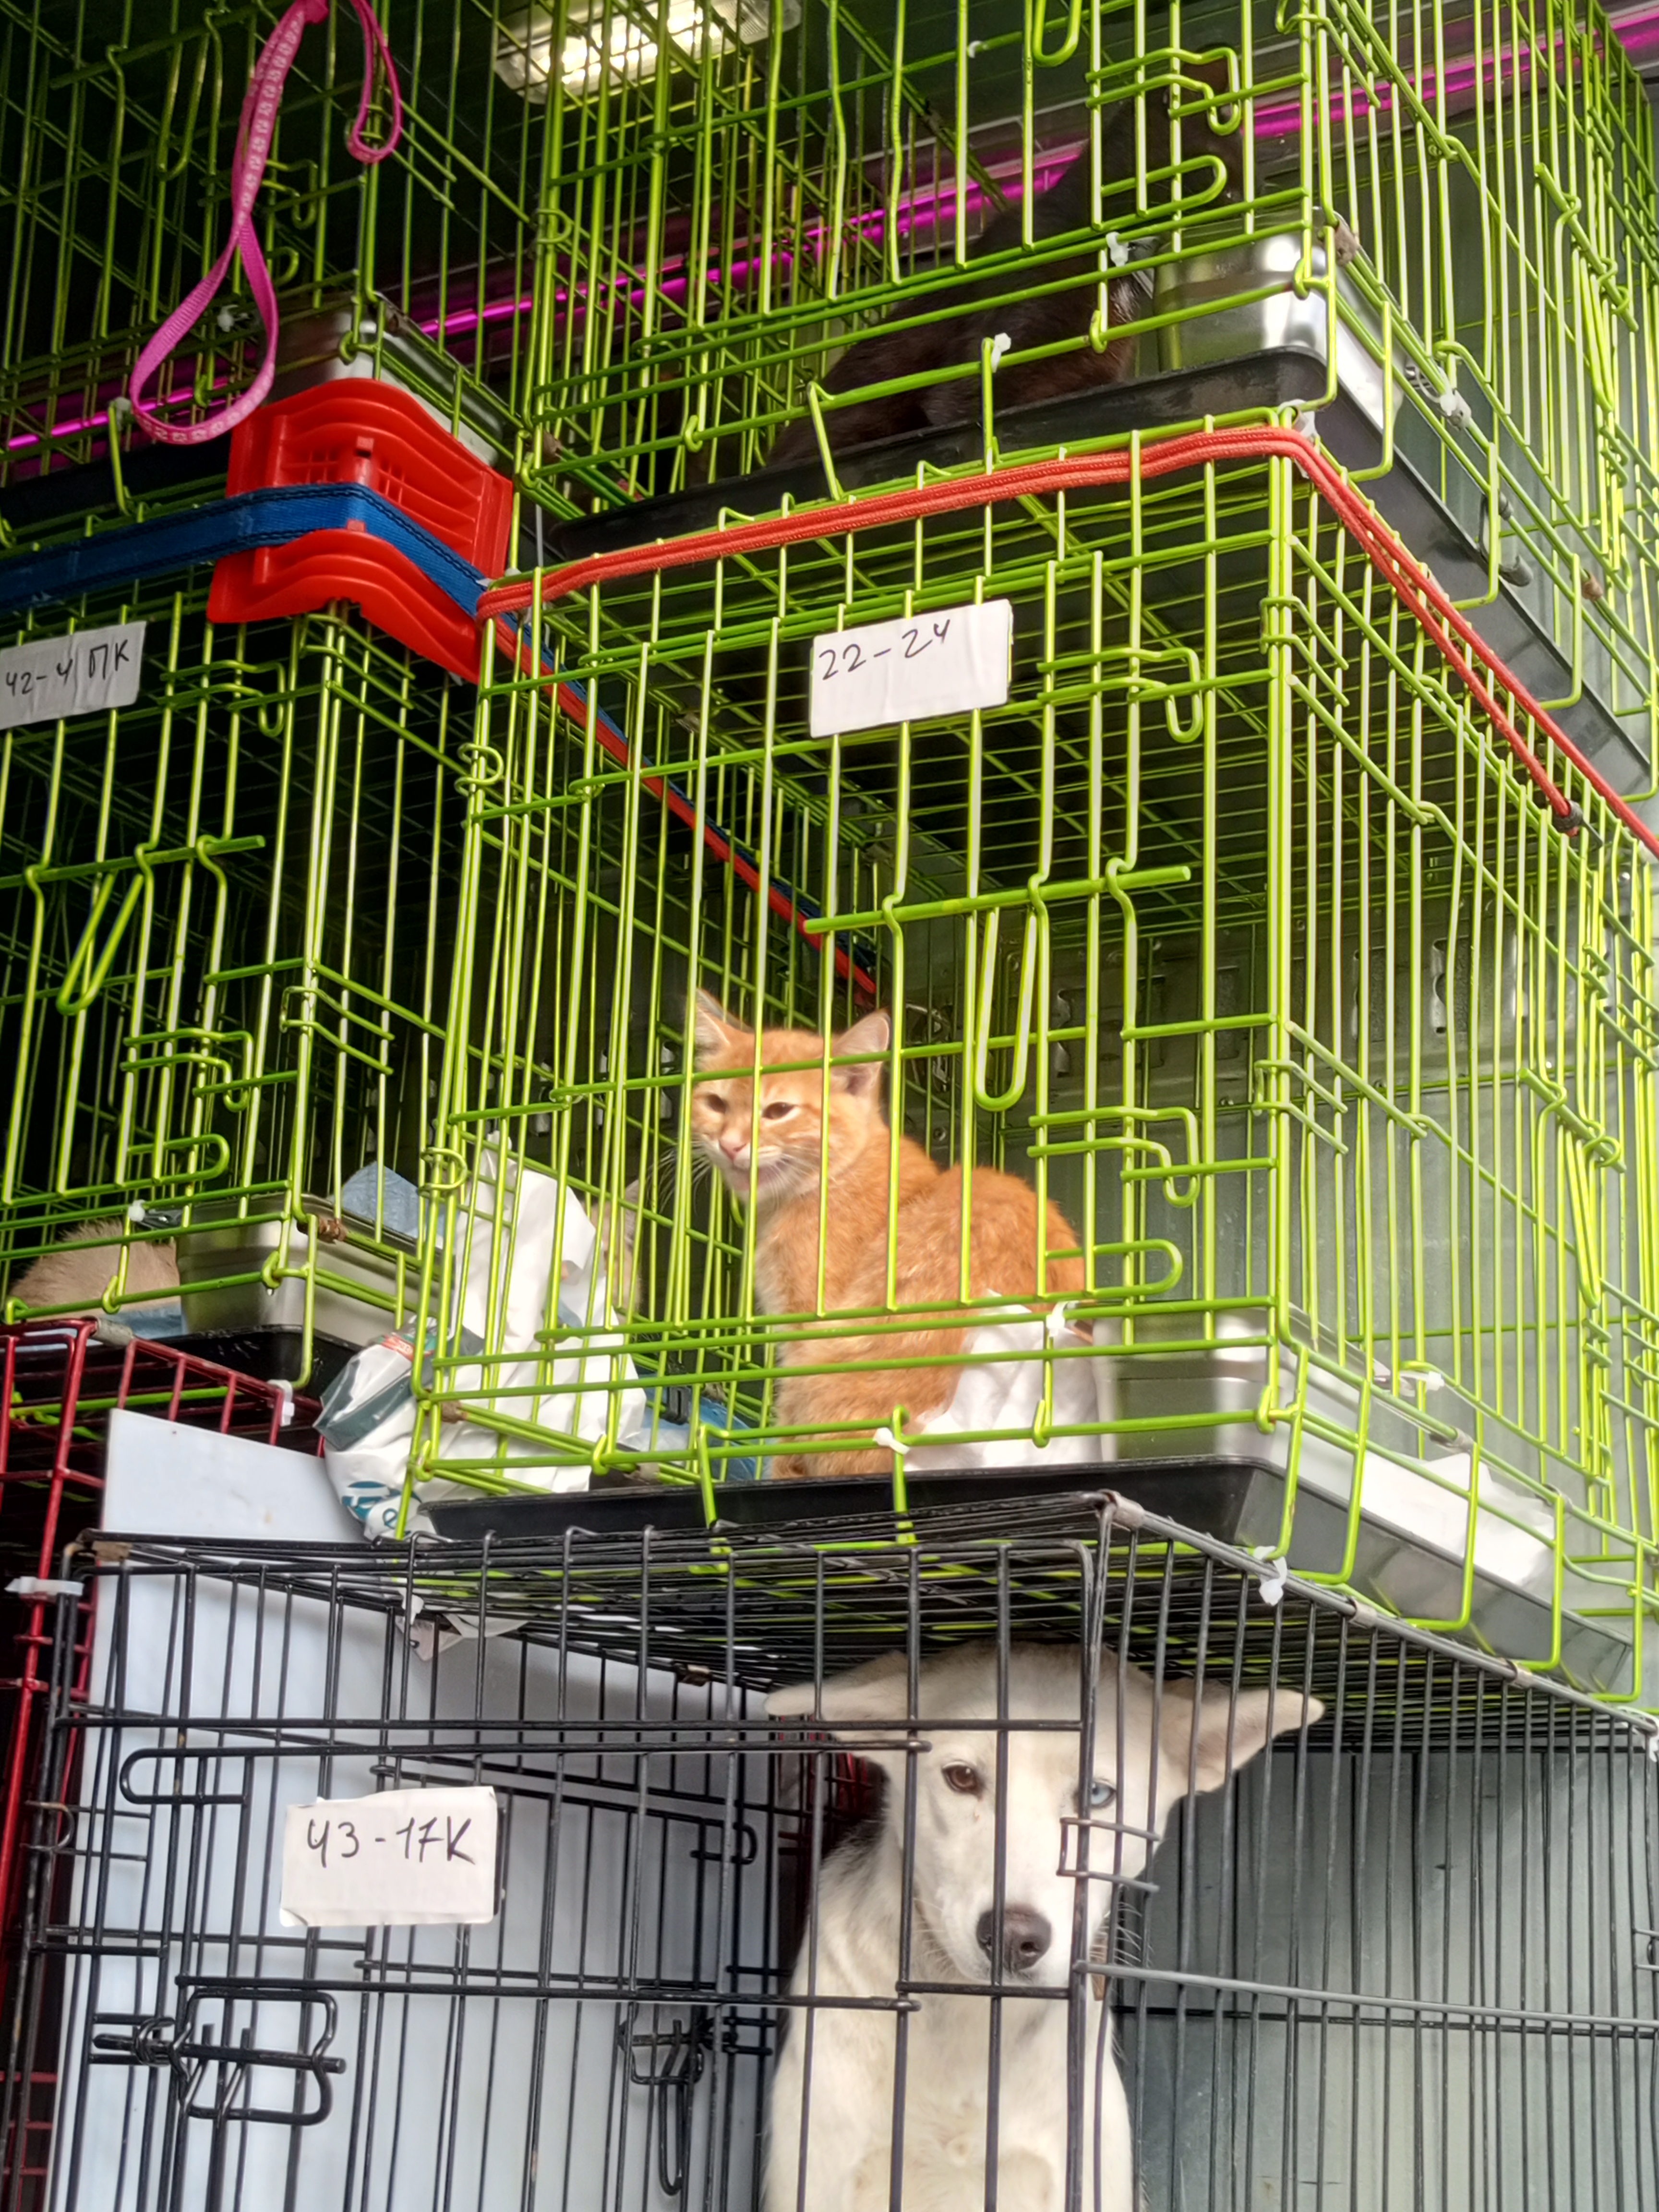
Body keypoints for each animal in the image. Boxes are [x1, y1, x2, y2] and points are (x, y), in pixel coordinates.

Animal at [689, 992, 1086, 1477]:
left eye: (779, 1111)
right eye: (716, 1103)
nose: (730, 1145)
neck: (830, 1179)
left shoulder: (802, 1332)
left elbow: (787, 1436)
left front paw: (778, 1468)